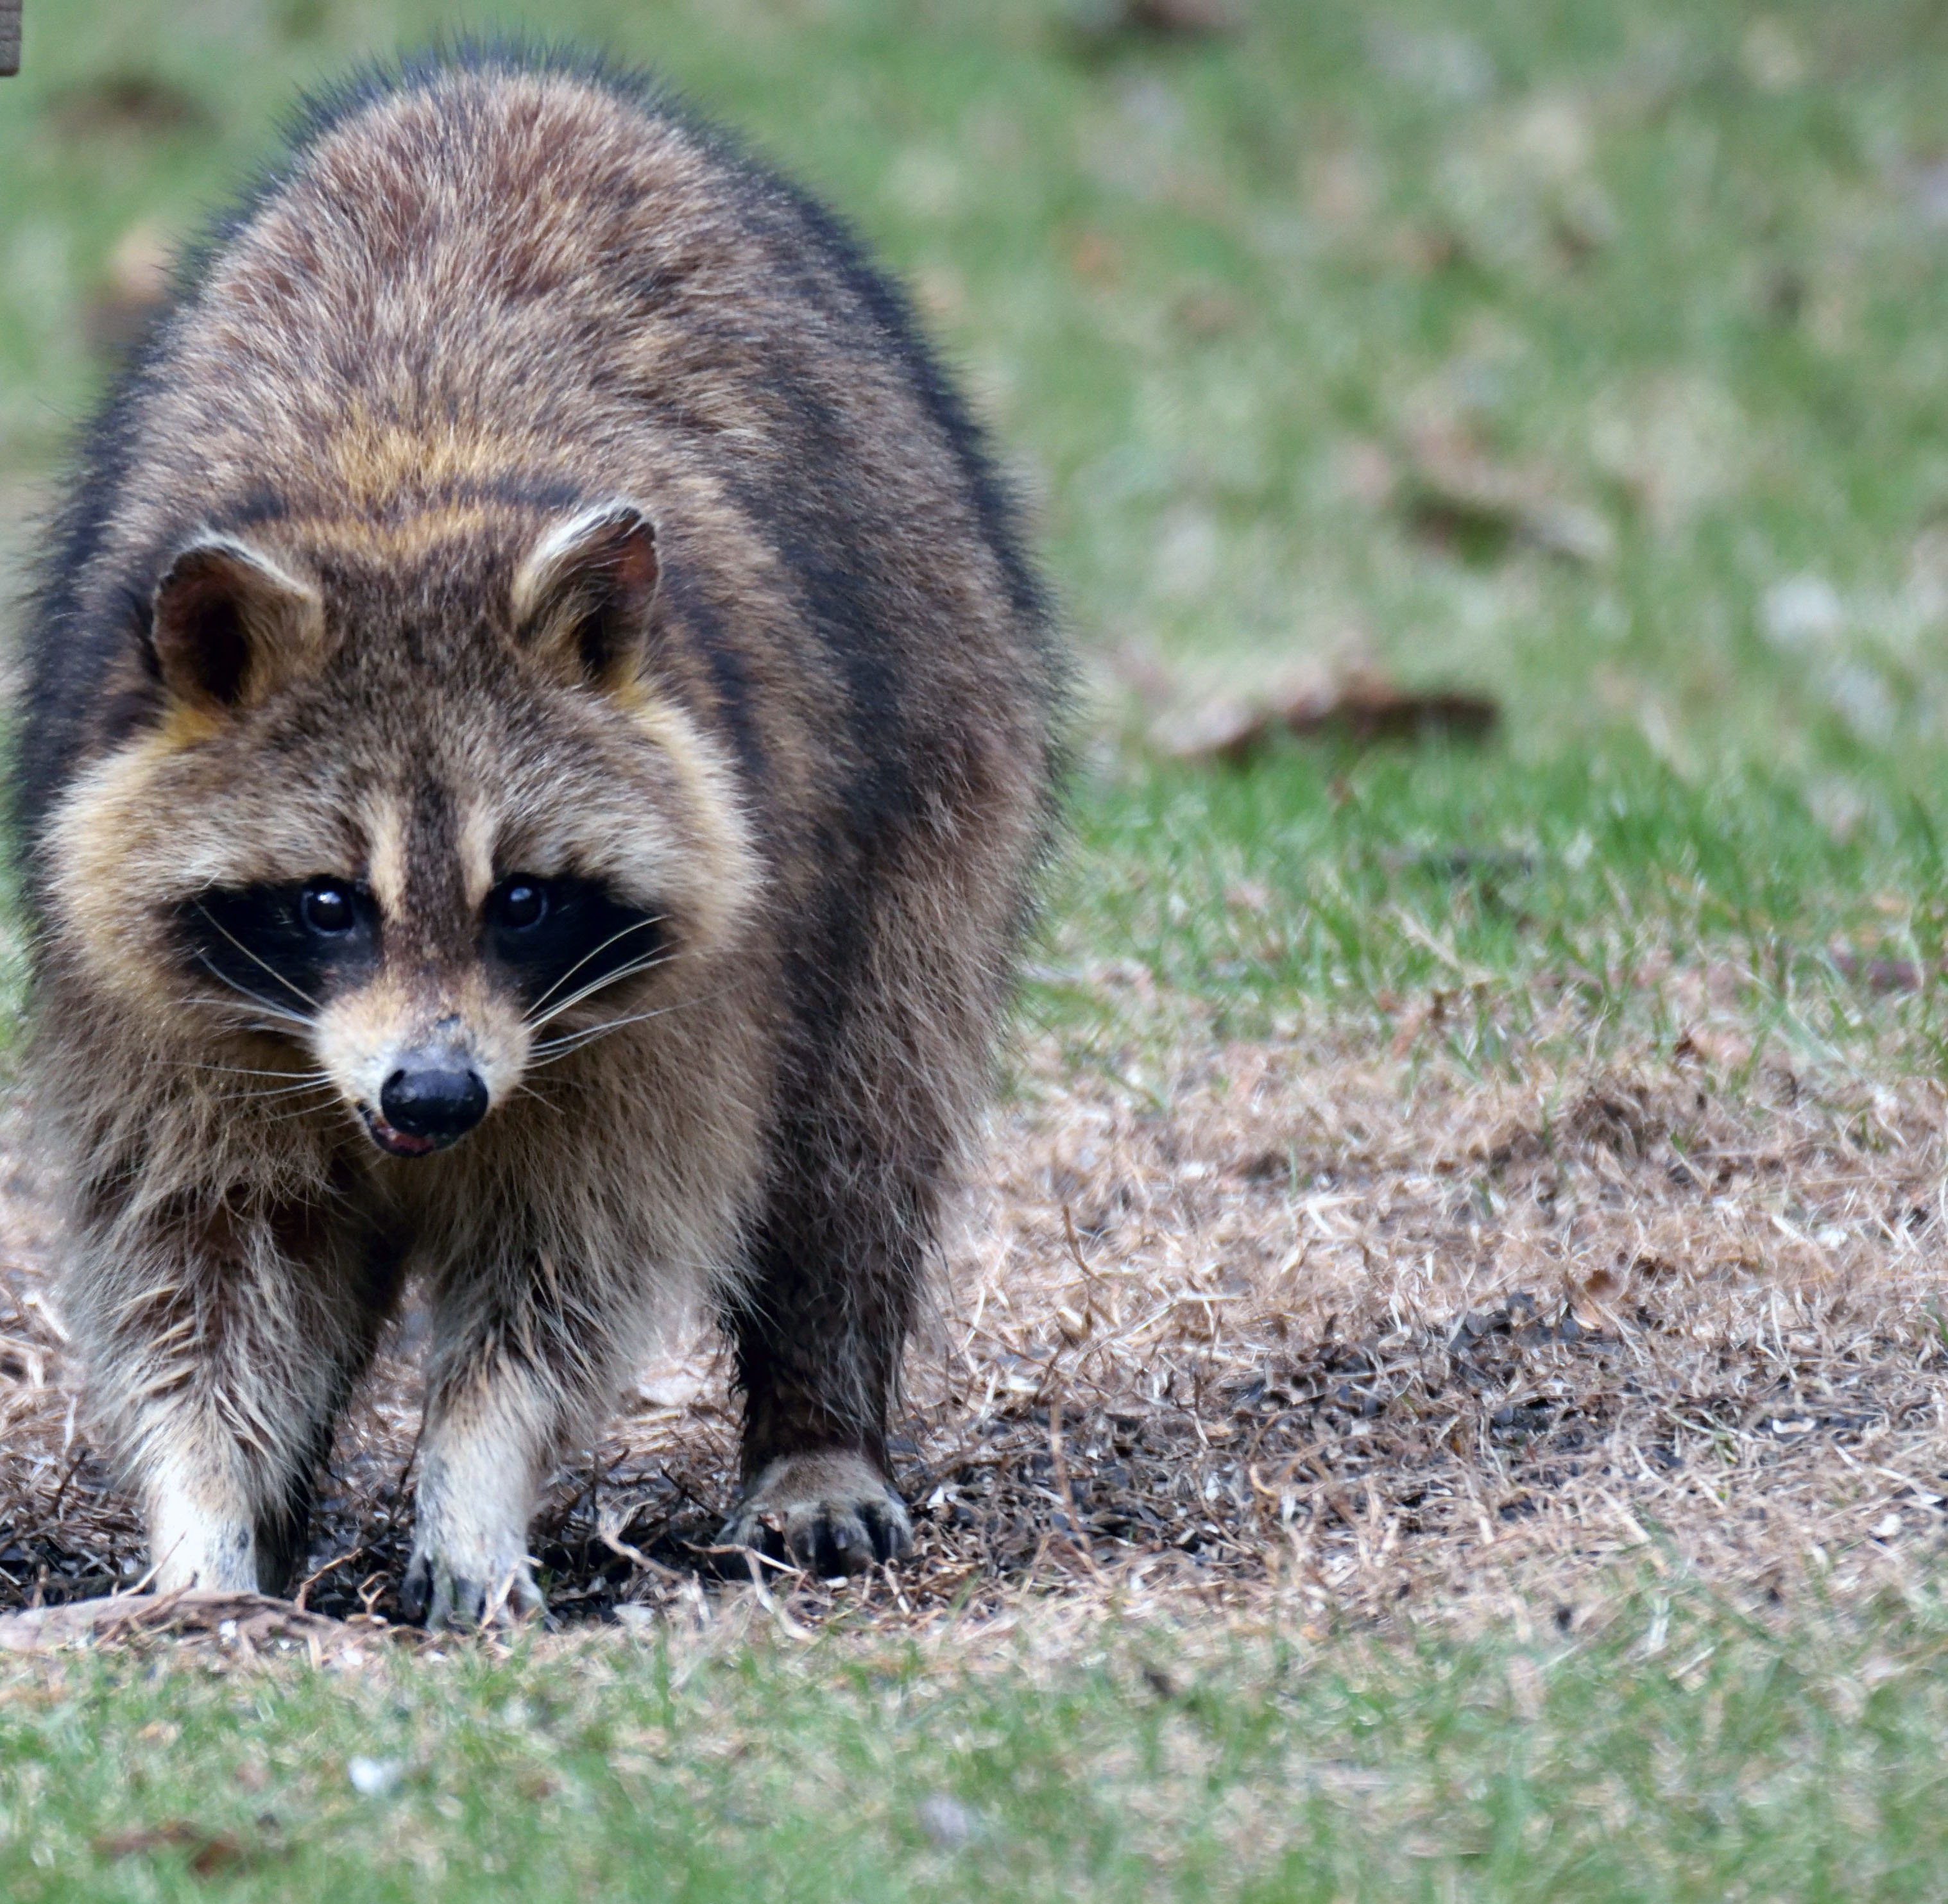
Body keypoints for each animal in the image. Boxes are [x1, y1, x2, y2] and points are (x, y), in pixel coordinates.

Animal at [15, 48, 1059, 1619]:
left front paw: (474, 1473)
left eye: (520, 898)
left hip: (943, 734)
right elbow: (202, 1263)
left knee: (868, 1116)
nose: (436, 1095)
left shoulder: (670, 1008)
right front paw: (208, 1527)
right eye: (328, 901)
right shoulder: (154, 1010)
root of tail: (517, 78)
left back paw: (817, 1419)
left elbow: (568, 1261)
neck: (395, 496)